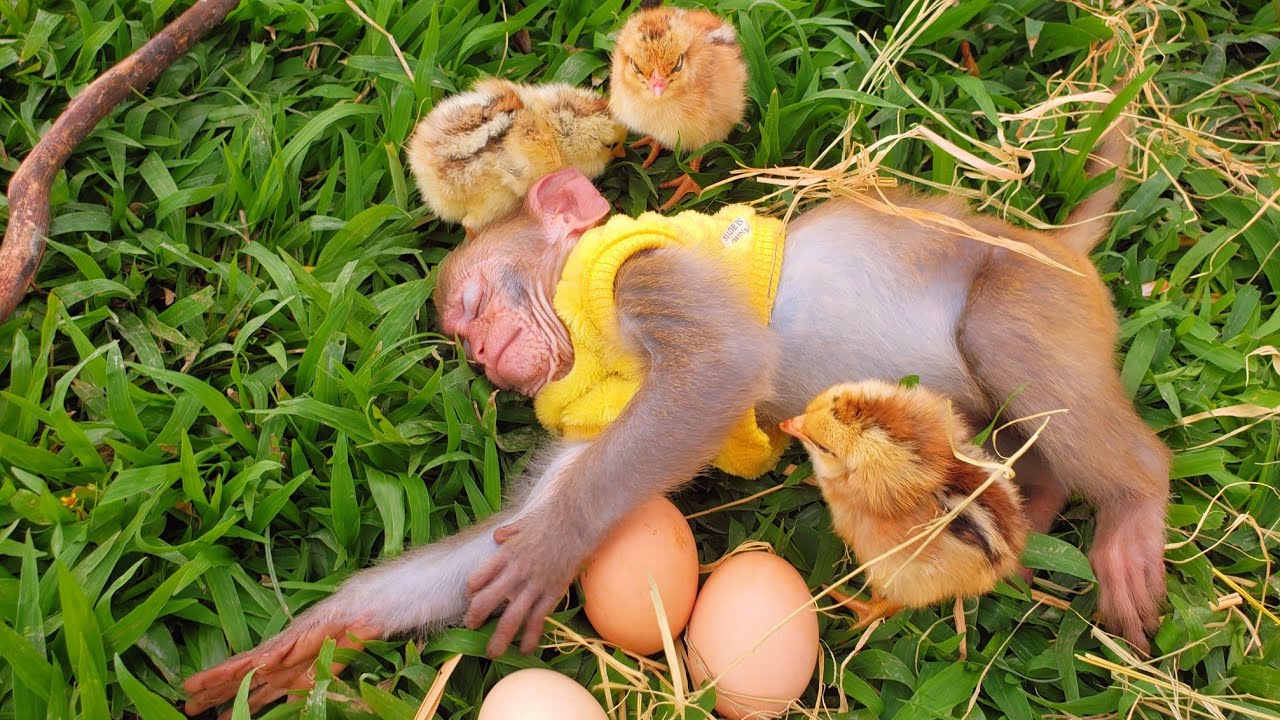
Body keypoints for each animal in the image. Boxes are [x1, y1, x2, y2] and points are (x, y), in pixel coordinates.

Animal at [182, 126, 1170, 716]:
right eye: (460, 335)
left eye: (471, 305)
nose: (485, 357)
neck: (586, 338)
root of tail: (1052, 244)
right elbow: (495, 540)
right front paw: (302, 645)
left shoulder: (638, 271)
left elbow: (722, 365)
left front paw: (552, 551)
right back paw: (1033, 498)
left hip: (1035, 292)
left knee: (1013, 344)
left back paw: (1132, 499)